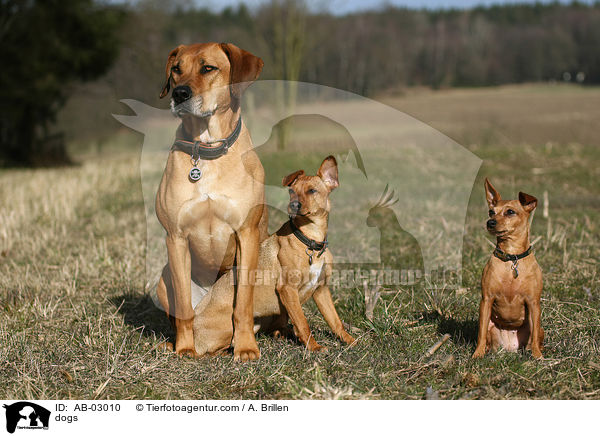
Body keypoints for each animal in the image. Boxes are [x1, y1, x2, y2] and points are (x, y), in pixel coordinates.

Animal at [156, 42, 266, 362]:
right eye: (176, 69)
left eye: (208, 68)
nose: (179, 93)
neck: (205, 150)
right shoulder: (176, 237)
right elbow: (183, 308)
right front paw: (184, 348)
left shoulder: (247, 234)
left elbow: (242, 305)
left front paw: (245, 348)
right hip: (163, 278)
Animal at [195, 156, 356, 354]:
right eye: (291, 191)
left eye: (312, 190)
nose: (293, 205)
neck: (309, 241)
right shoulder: (288, 289)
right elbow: (303, 323)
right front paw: (314, 347)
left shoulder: (321, 290)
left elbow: (335, 321)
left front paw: (350, 341)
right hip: (231, 326)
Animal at [474, 177, 544, 358]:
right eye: (491, 212)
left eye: (510, 212)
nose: (490, 222)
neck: (512, 258)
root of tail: (510, 347)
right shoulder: (486, 300)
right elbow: (480, 334)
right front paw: (477, 354)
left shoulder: (533, 302)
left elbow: (534, 337)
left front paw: (537, 356)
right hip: (491, 326)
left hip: (538, 327)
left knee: (536, 336)